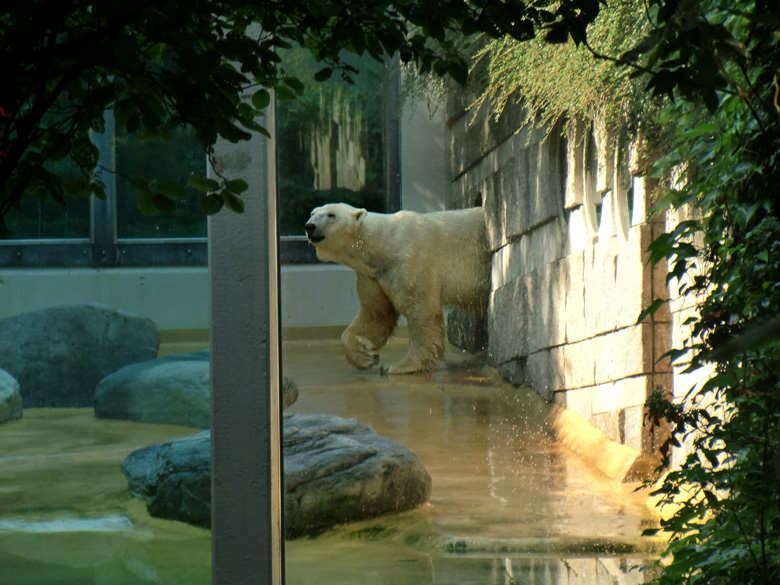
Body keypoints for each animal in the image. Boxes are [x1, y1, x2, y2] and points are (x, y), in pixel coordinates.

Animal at [304, 203, 488, 372]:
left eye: (331, 215)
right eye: (313, 213)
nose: (309, 226)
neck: (384, 244)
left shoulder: (412, 260)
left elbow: (420, 310)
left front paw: (400, 366)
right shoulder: (372, 275)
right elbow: (377, 312)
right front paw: (366, 354)